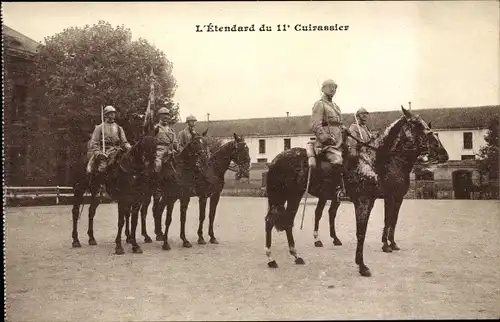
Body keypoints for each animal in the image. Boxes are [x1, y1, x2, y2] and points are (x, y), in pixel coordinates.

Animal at [266, 106, 450, 276]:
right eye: (417, 124)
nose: (442, 153)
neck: (373, 160)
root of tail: (275, 160)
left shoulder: (383, 199)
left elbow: (387, 222)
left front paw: (387, 246)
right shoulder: (371, 200)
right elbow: (365, 230)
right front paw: (364, 264)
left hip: (295, 196)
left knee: (290, 221)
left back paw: (297, 255)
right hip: (282, 196)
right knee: (272, 221)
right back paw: (271, 258)